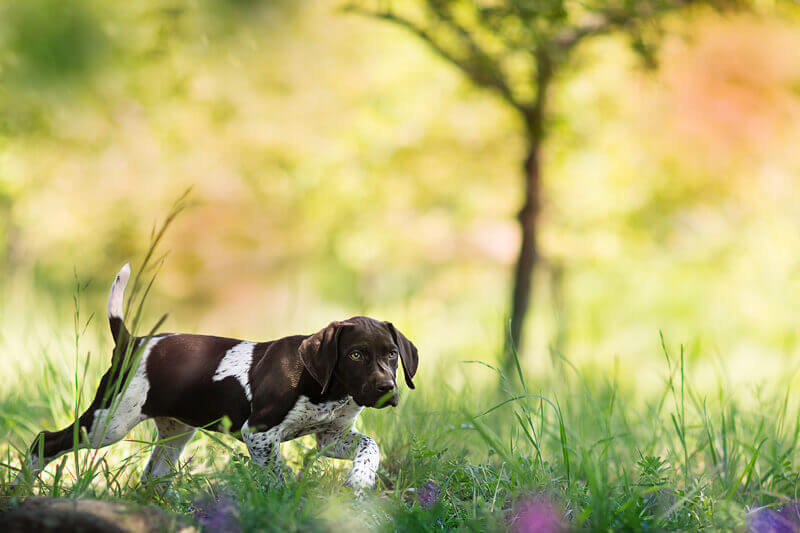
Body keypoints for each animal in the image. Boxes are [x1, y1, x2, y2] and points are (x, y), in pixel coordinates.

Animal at [12, 264, 418, 492]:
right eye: (355, 355)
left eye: (391, 355)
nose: (387, 389)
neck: (327, 390)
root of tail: (134, 342)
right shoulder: (259, 434)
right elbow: (277, 475)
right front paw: (287, 501)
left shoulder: (331, 438)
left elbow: (370, 446)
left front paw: (361, 480)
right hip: (108, 423)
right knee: (44, 442)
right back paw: (19, 489)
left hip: (175, 431)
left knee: (153, 475)